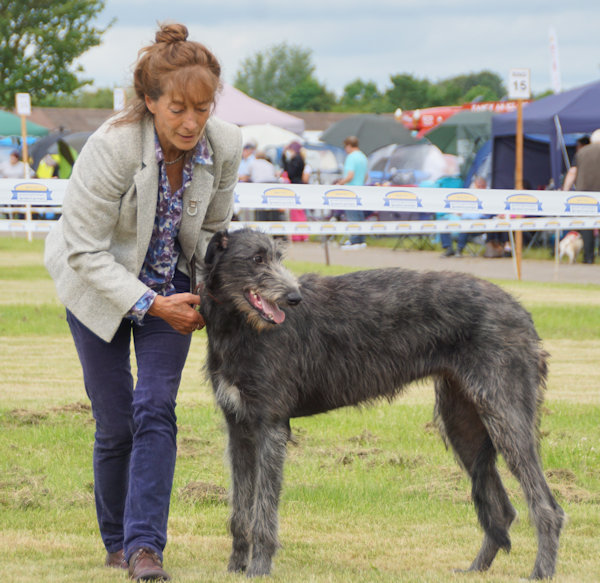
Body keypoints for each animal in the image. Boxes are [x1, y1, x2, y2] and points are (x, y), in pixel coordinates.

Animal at [200, 228, 564, 580]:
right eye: (257, 259)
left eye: (278, 256)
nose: (294, 298)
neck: (240, 326)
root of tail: (521, 311)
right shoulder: (239, 428)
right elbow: (240, 510)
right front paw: (235, 567)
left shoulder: (271, 426)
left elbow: (263, 511)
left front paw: (258, 570)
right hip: (463, 421)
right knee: (503, 509)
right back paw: (476, 569)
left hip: (506, 413)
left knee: (547, 506)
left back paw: (540, 572)